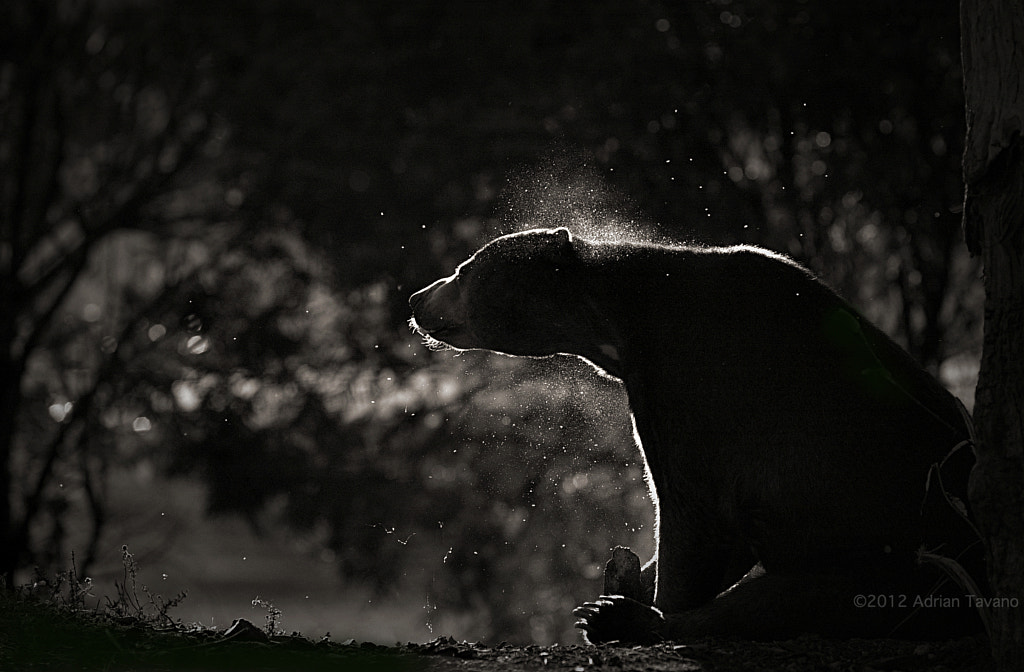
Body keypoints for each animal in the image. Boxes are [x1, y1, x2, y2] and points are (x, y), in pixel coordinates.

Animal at [408, 227, 982, 643]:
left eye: (464, 269)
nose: (416, 298)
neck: (619, 332)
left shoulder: (699, 388)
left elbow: (693, 517)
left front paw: (637, 600)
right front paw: (626, 576)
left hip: (896, 550)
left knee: (788, 600)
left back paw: (619, 620)